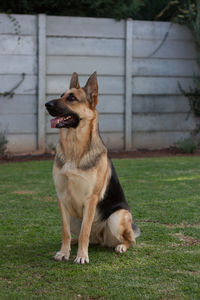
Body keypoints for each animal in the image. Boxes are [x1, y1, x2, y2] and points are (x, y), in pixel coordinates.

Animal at [45, 72, 140, 264]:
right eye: (61, 95)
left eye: (72, 98)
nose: (46, 104)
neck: (74, 149)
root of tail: (101, 238)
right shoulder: (61, 197)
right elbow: (65, 231)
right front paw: (64, 252)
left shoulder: (91, 199)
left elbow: (85, 232)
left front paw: (82, 256)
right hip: (74, 217)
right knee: (84, 235)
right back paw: (74, 244)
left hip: (117, 217)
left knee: (129, 240)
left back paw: (120, 246)